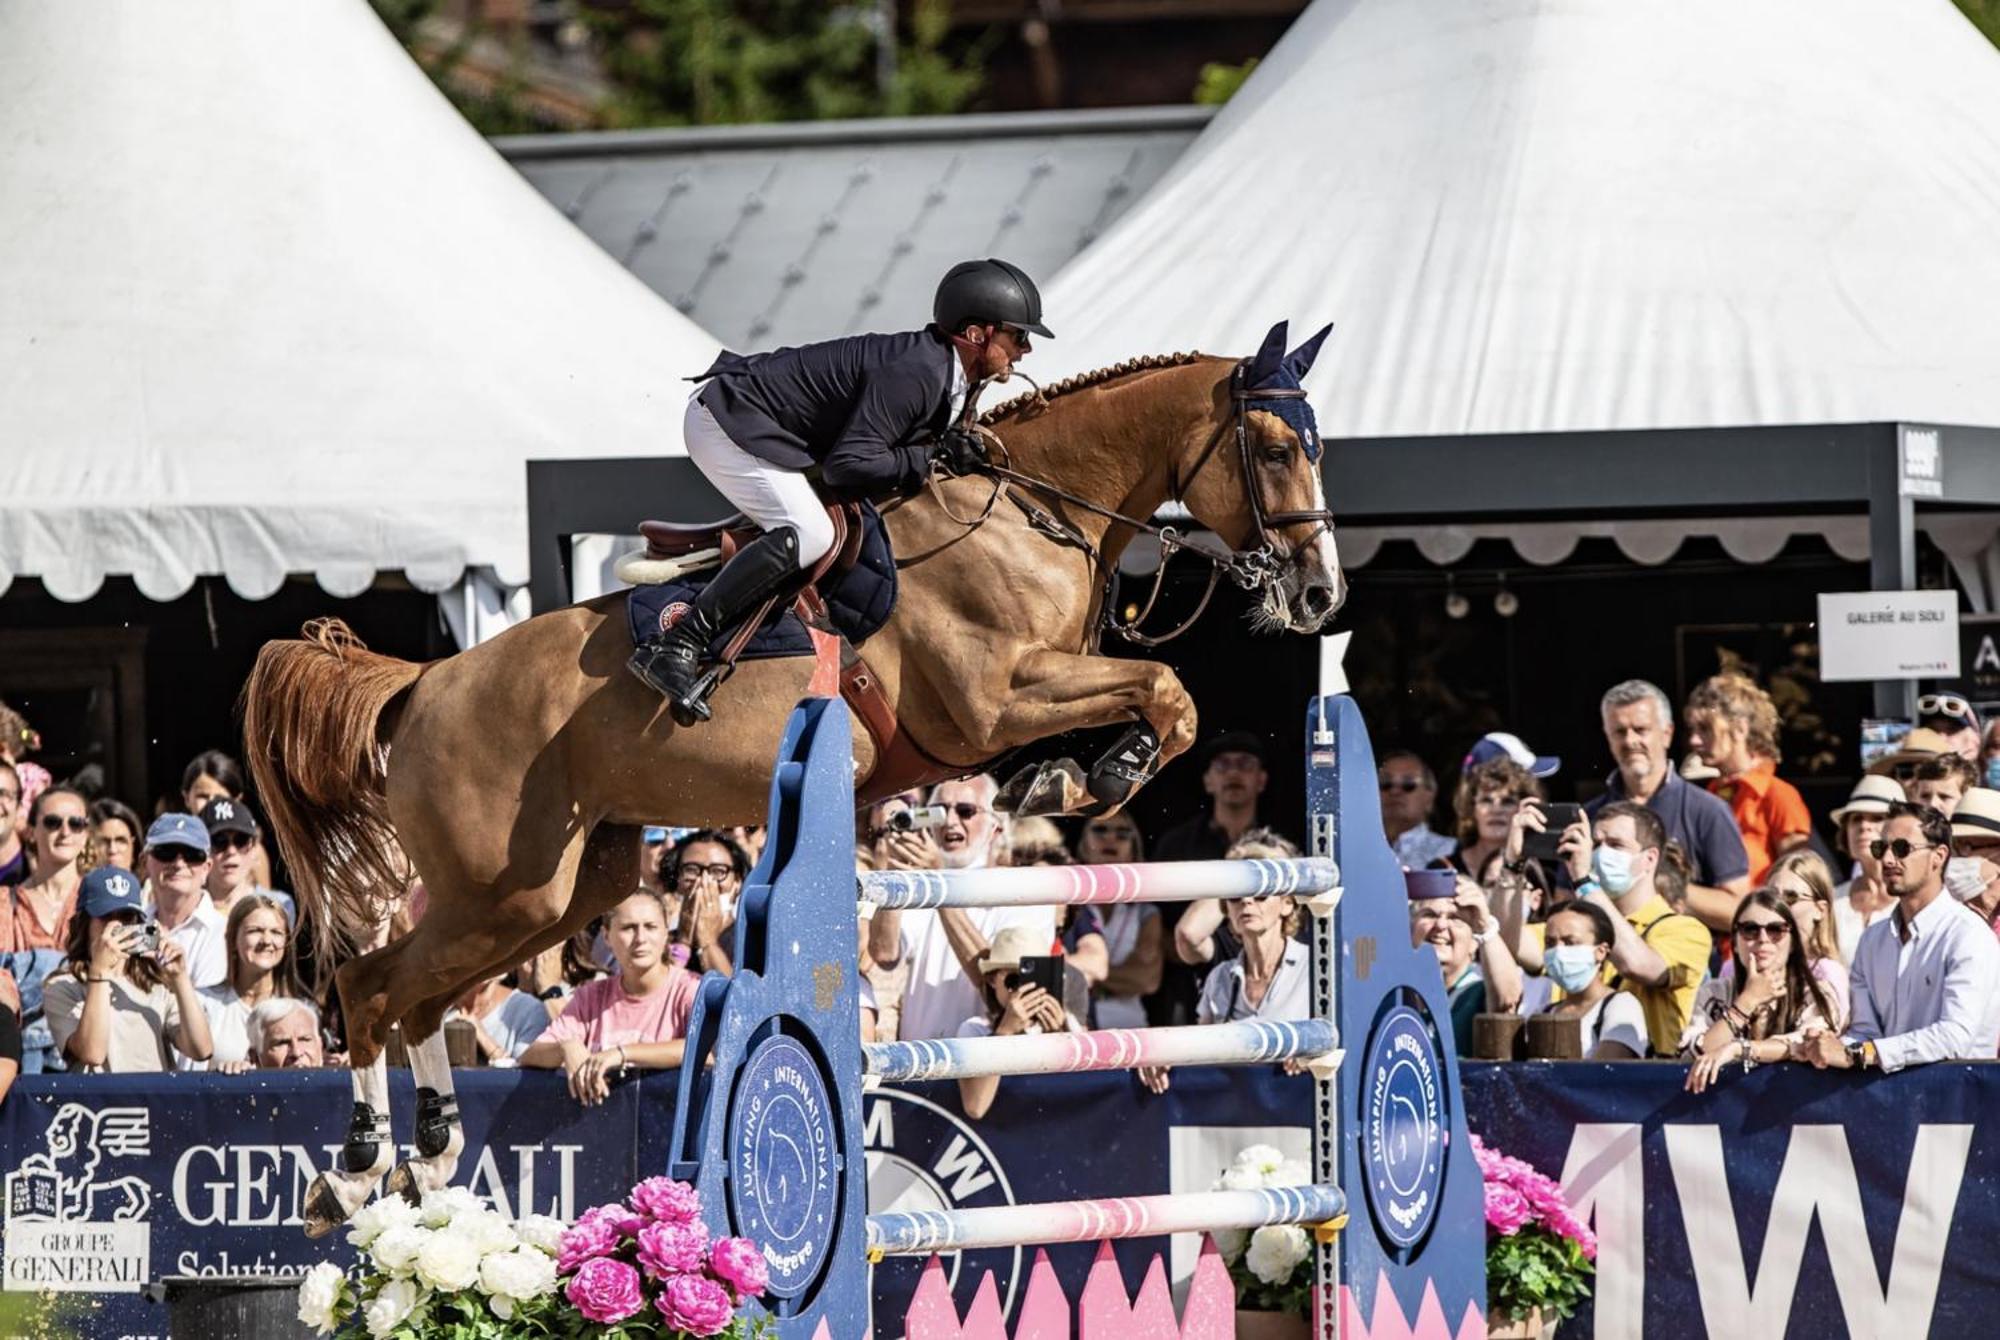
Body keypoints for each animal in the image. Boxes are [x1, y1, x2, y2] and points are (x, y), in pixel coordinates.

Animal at [242, 320, 1352, 1232]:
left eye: (1316, 448)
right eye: (1273, 449)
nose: (1319, 595)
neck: (1029, 516)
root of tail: (425, 682)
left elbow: (1165, 700)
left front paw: (1077, 780)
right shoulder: (990, 703)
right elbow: (1166, 688)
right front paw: (1088, 776)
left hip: (559, 890)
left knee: (415, 1000)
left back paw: (423, 1162)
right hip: (499, 889)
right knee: (369, 987)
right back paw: (354, 1170)